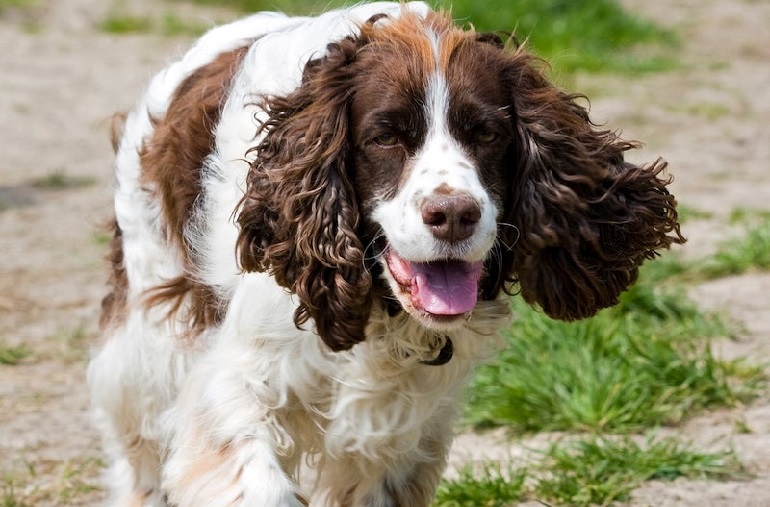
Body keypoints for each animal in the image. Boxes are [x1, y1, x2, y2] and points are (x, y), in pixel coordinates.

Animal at [90, 1, 684, 506]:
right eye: (385, 137)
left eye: (487, 133)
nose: (454, 214)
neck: (380, 310)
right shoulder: (235, 387)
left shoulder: (403, 430)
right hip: (152, 335)